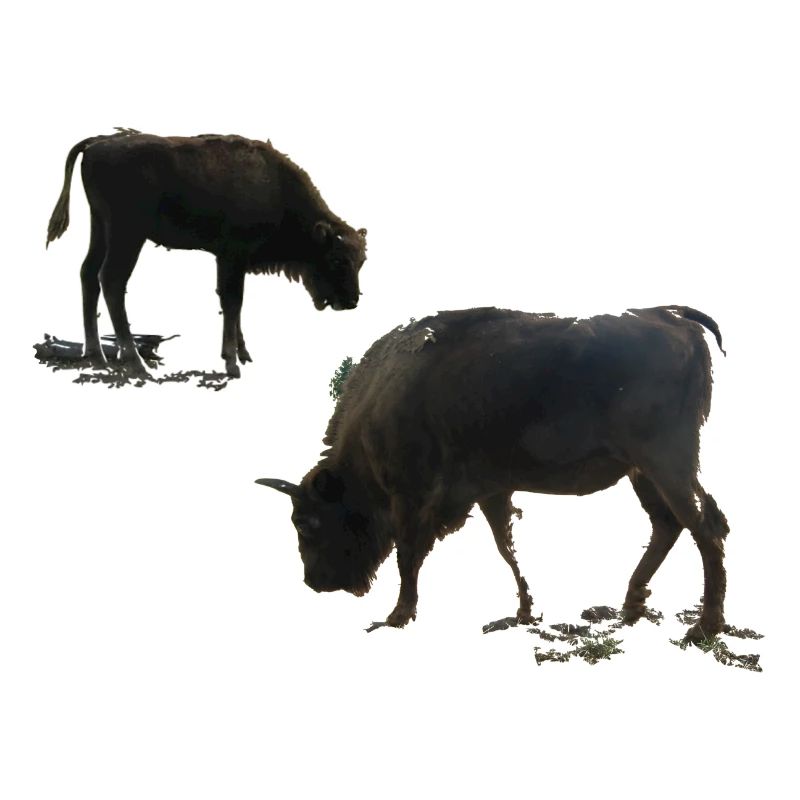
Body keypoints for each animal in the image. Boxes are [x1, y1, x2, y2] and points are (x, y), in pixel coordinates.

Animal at [46, 128, 367, 377]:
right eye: (337, 259)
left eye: (362, 261)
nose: (351, 301)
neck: (273, 185)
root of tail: (97, 142)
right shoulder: (232, 257)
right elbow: (233, 302)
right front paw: (232, 363)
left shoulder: (230, 261)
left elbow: (233, 304)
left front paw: (243, 354)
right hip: (127, 235)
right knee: (112, 280)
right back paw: (135, 362)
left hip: (100, 226)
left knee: (88, 273)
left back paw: (96, 355)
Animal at [258, 305, 730, 641]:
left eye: (307, 522)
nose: (315, 582)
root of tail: (671, 314)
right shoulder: (489, 491)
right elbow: (506, 546)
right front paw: (524, 611)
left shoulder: (410, 497)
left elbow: (408, 556)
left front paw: (396, 617)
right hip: (642, 471)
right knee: (668, 524)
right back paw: (631, 608)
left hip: (665, 462)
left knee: (704, 525)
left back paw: (703, 627)